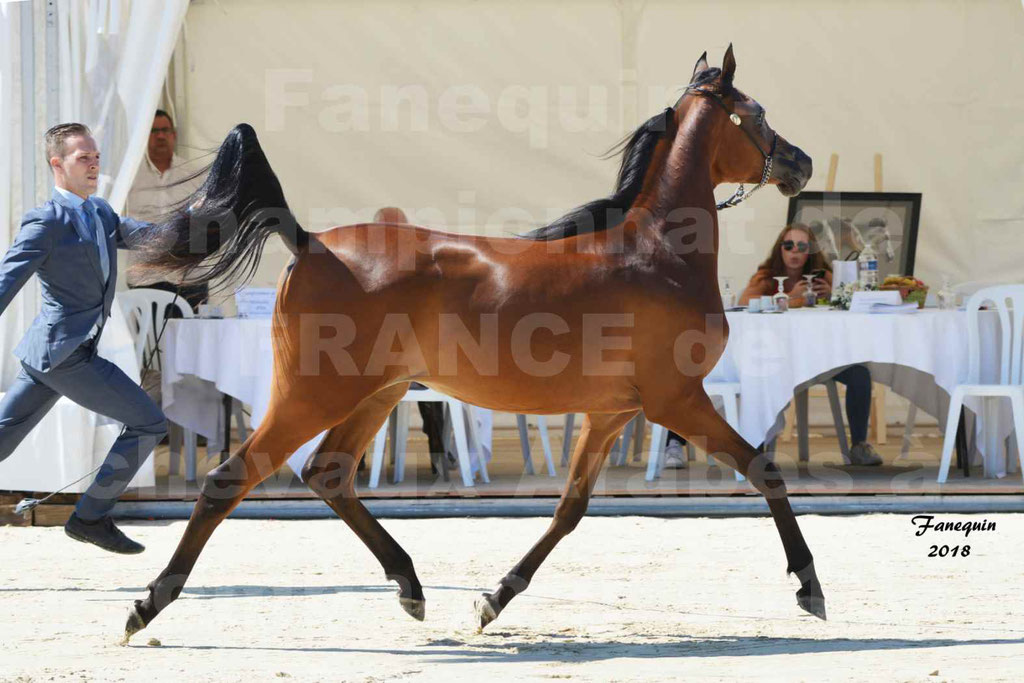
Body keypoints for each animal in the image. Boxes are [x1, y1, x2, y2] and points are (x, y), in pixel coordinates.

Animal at [123, 45, 819, 643]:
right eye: (757, 113)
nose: (801, 163)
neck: (655, 254)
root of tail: (311, 242)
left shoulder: (613, 411)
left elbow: (570, 509)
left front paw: (493, 599)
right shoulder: (677, 400)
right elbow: (764, 468)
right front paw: (810, 587)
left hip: (377, 393)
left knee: (328, 474)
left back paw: (409, 586)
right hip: (314, 396)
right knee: (229, 479)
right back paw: (147, 604)